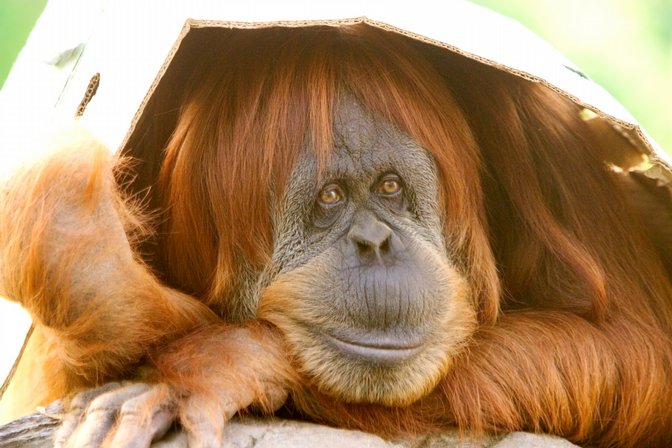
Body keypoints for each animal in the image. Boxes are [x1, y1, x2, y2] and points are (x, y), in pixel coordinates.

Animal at [1, 24, 672, 448]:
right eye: (329, 199)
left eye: (391, 186)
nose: (375, 244)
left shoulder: (545, 142)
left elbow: (634, 347)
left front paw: (215, 362)